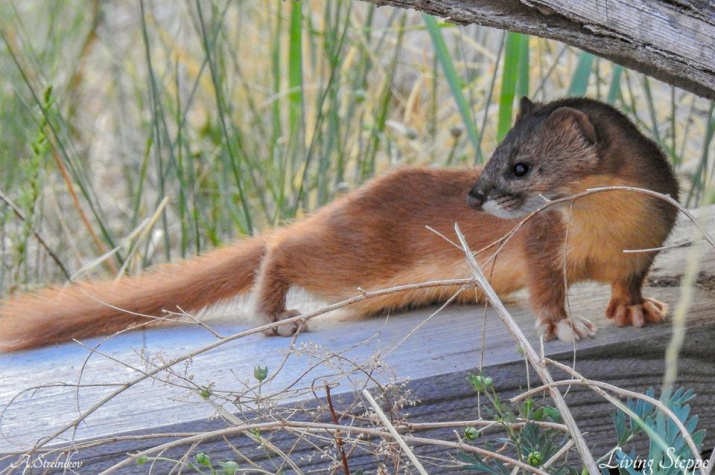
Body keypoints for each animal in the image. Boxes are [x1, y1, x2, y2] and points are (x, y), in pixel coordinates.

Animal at [0, 96, 676, 352]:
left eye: (520, 164)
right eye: (490, 153)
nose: (473, 194)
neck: (611, 230)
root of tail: (350, 200)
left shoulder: (647, 242)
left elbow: (631, 280)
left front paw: (636, 309)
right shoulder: (541, 239)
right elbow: (546, 285)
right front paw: (563, 324)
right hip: (353, 258)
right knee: (282, 244)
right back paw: (277, 315)